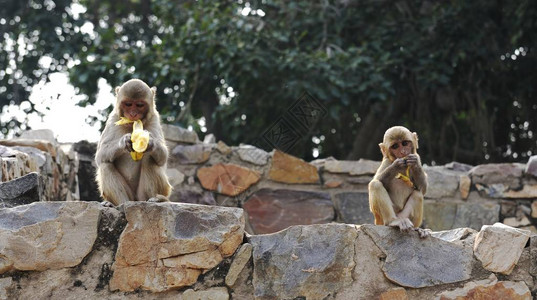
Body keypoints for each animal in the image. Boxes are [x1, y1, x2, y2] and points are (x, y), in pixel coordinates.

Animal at [95, 78, 171, 206]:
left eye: (139, 105)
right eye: (128, 104)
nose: (133, 113)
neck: (131, 125)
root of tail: (135, 200)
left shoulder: (154, 119)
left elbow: (163, 157)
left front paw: (151, 143)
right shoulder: (113, 118)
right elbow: (100, 155)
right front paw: (123, 142)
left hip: (156, 192)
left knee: (149, 158)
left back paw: (156, 199)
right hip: (130, 195)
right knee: (105, 164)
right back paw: (119, 204)